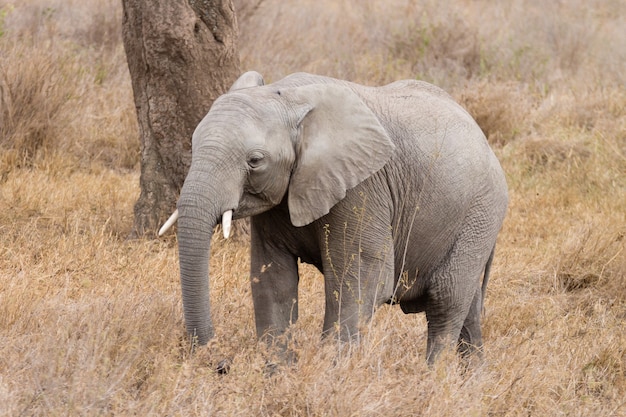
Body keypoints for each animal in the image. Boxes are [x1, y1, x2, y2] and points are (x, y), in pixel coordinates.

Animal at [160, 70, 508, 360]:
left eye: (255, 161)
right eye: (193, 144)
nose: (222, 364)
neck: (289, 96)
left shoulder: (363, 188)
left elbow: (360, 282)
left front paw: (331, 375)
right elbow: (273, 281)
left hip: (480, 214)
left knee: (446, 302)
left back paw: (433, 381)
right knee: (469, 312)